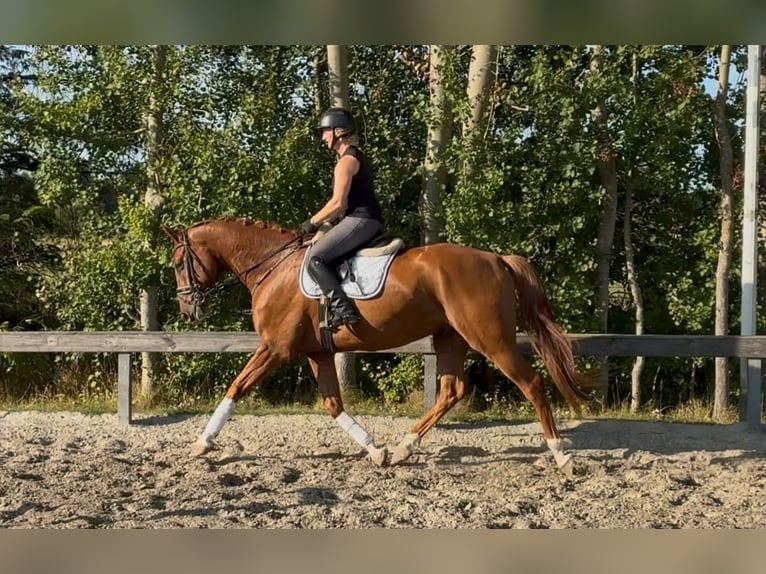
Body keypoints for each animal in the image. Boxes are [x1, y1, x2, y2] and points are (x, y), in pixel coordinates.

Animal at [164, 217, 591, 474]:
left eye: (179, 262)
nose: (187, 308)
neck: (273, 266)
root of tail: (495, 258)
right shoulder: (317, 353)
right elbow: (333, 405)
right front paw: (376, 450)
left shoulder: (274, 348)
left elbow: (236, 387)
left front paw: (202, 443)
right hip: (450, 338)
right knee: (451, 391)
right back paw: (404, 448)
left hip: (490, 339)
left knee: (531, 383)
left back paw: (561, 454)